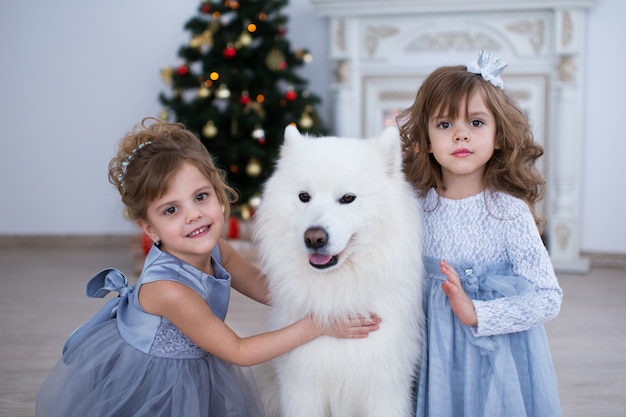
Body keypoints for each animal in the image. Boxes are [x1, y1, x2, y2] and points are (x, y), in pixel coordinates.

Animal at [251, 126, 422, 416]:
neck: (337, 297)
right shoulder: (301, 389)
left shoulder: (385, 389)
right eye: (304, 196)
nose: (314, 238)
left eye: (347, 198)